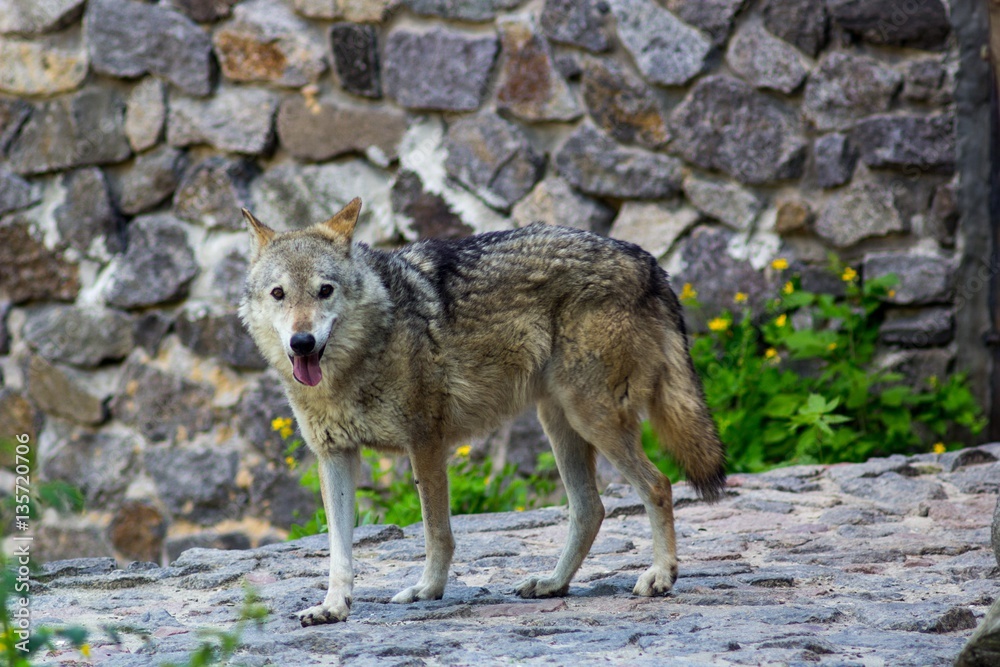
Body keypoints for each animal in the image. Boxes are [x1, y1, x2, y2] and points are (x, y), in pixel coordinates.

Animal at [239, 198, 726, 626]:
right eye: (279, 294)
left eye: (325, 291)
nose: (302, 342)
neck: (362, 355)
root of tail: (647, 259)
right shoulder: (335, 456)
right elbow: (339, 550)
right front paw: (333, 607)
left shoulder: (425, 443)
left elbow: (436, 532)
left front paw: (428, 590)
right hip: (560, 423)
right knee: (591, 509)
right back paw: (553, 584)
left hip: (592, 418)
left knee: (658, 485)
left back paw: (660, 577)